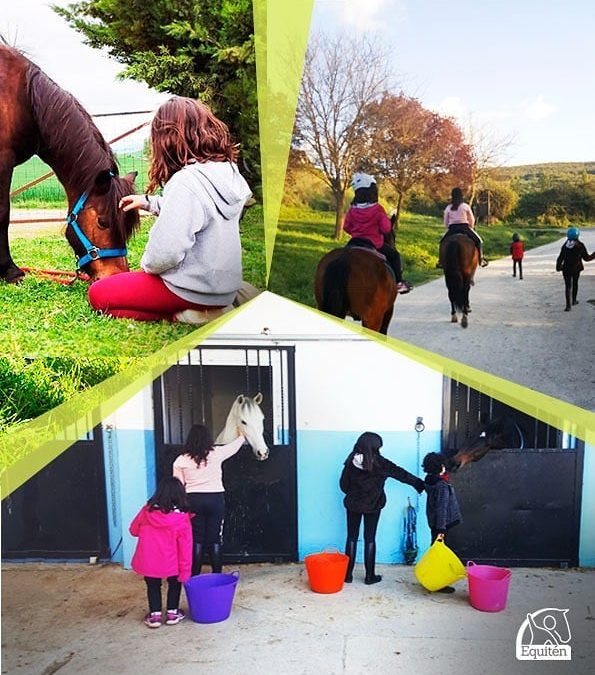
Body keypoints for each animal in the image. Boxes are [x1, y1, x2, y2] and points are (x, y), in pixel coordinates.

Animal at [0, 44, 140, 282]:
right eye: (103, 222)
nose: (116, 276)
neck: (23, 96)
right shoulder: (3, 158)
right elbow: (3, 213)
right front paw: (10, 271)